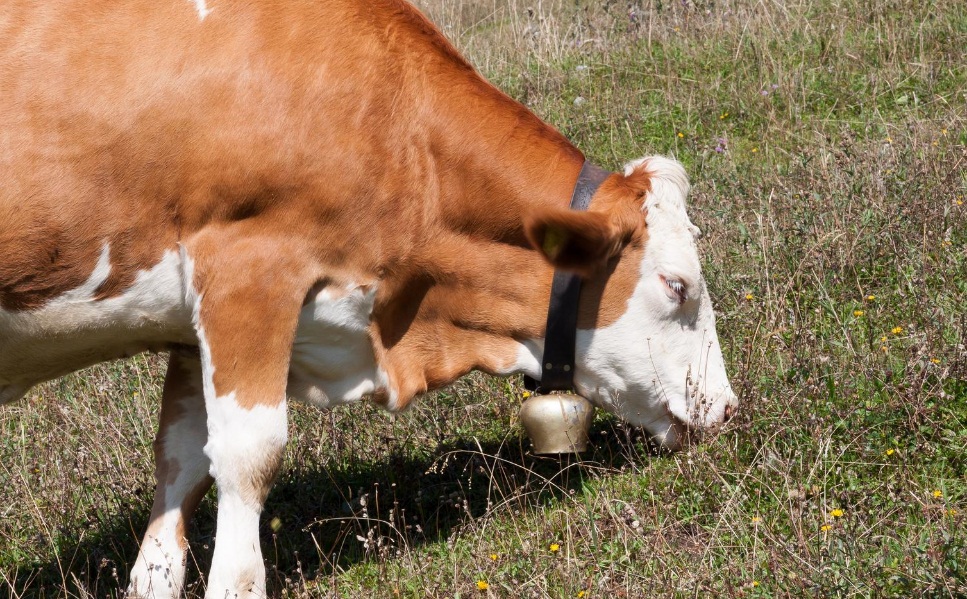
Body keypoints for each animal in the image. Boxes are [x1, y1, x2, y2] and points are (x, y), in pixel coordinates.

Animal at [1, 0, 740, 596]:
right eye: (676, 285)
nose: (727, 406)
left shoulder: (192, 326)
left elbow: (182, 458)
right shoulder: (248, 270)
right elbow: (248, 453)